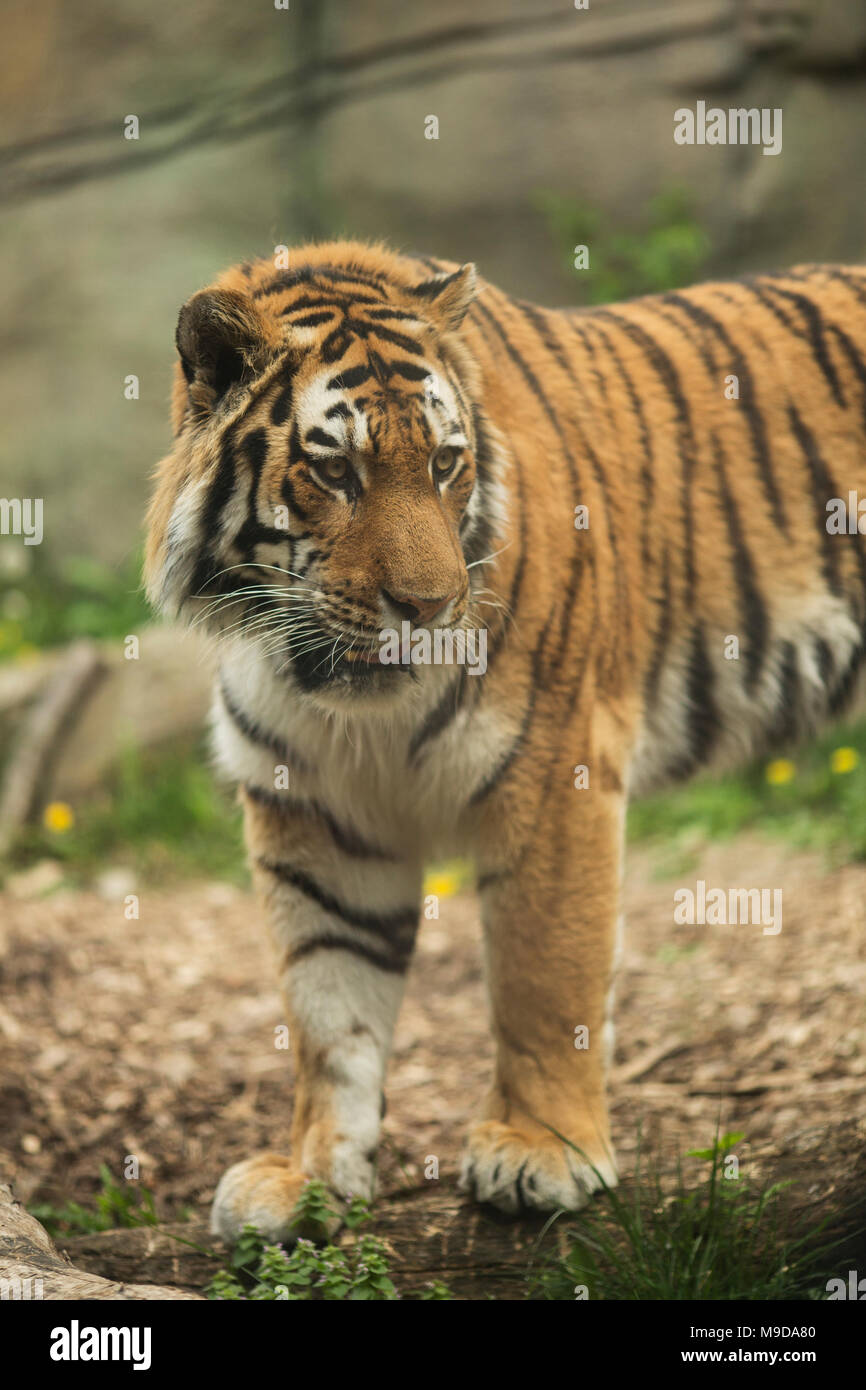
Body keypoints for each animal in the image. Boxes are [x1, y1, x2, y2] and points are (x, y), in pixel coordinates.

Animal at [144, 241, 866, 1241]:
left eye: (446, 462)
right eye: (337, 473)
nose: (430, 606)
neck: (329, 687)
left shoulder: (556, 766)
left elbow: (544, 971)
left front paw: (543, 1152)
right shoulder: (313, 812)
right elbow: (328, 1006)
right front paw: (311, 1177)